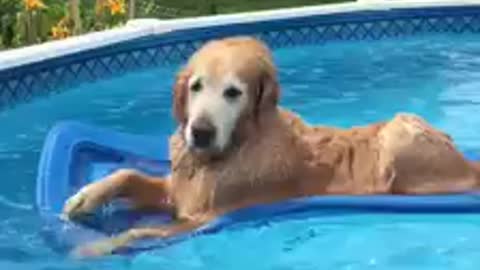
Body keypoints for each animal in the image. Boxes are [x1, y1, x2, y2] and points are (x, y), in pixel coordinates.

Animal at [62, 35, 480, 258]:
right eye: (196, 86)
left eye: (233, 92)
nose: (199, 133)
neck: (233, 148)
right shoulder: (178, 191)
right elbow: (128, 173)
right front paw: (85, 197)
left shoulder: (199, 218)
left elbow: (139, 232)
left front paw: (94, 248)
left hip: (400, 130)